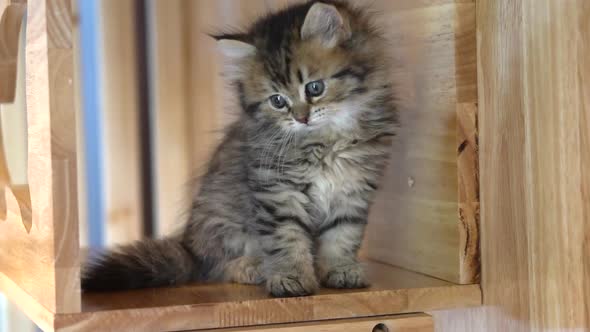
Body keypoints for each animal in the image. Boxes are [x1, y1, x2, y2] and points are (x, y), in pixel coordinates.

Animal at [83, 0, 398, 296]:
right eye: (277, 101)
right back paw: (253, 267)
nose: (301, 118)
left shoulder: (354, 188)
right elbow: (287, 238)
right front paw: (291, 277)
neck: (325, 141)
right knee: (217, 265)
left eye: (314, 88)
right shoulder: (277, 191)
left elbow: (343, 235)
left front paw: (340, 269)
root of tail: (189, 247)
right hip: (222, 223)